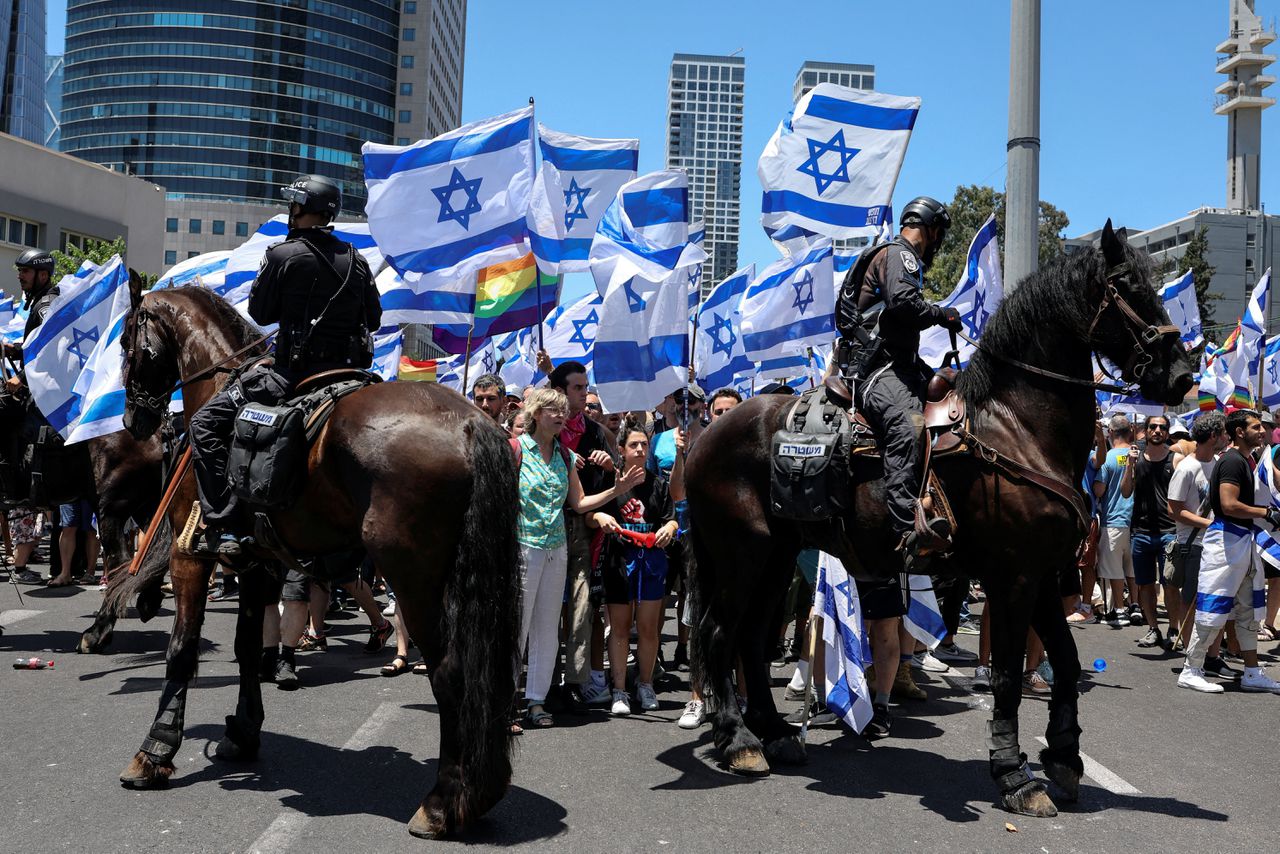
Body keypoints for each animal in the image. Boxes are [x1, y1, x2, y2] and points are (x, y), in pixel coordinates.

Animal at [113, 286, 519, 839]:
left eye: (127, 344)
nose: (134, 421)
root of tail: (472, 422)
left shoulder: (189, 553)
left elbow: (181, 651)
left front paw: (154, 753)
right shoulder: (257, 562)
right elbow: (247, 648)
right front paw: (242, 733)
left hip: (415, 580)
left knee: (451, 672)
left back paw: (441, 805)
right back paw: (479, 793)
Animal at [686, 224, 1192, 819]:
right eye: (1126, 286)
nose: (1182, 375)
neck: (1019, 428)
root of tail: (707, 434)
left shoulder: (1044, 574)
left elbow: (1065, 663)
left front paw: (1065, 758)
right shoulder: (1013, 578)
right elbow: (1006, 675)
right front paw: (1015, 774)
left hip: (777, 554)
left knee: (750, 635)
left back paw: (774, 733)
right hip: (740, 553)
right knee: (719, 633)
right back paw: (739, 740)